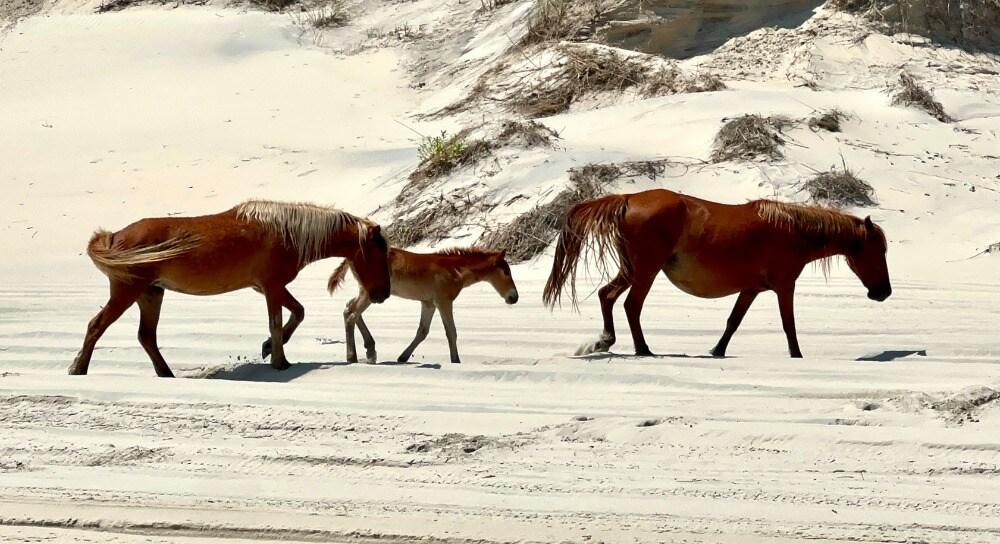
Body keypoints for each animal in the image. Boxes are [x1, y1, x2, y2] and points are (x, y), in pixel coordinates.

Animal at [70, 200, 391, 377]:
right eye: (380, 253)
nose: (383, 294)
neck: (287, 231)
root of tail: (113, 236)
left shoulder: (268, 287)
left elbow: (297, 313)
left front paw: (269, 349)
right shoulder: (271, 287)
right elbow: (277, 322)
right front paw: (279, 361)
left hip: (151, 293)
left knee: (146, 336)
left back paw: (166, 374)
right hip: (127, 291)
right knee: (96, 326)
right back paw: (78, 369)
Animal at [328, 247, 518, 365]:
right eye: (506, 271)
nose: (514, 297)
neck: (455, 269)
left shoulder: (428, 303)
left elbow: (422, 332)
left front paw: (403, 357)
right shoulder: (443, 301)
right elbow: (451, 332)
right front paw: (456, 360)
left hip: (368, 293)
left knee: (349, 309)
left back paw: (370, 350)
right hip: (369, 293)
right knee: (351, 314)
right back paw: (352, 356)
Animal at [543, 189, 891, 358]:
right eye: (878, 250)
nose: (883, 292)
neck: (792, 230)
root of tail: (627, 199)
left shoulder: (751, 289)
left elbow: (733, 322)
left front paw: (717, 350)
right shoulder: (784, 285)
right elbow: (789, 325)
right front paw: (797, 355)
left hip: (634, 269)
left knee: (608, 296)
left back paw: (606, 341)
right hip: (645, 270)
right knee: (630, 305)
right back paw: (641, 349)